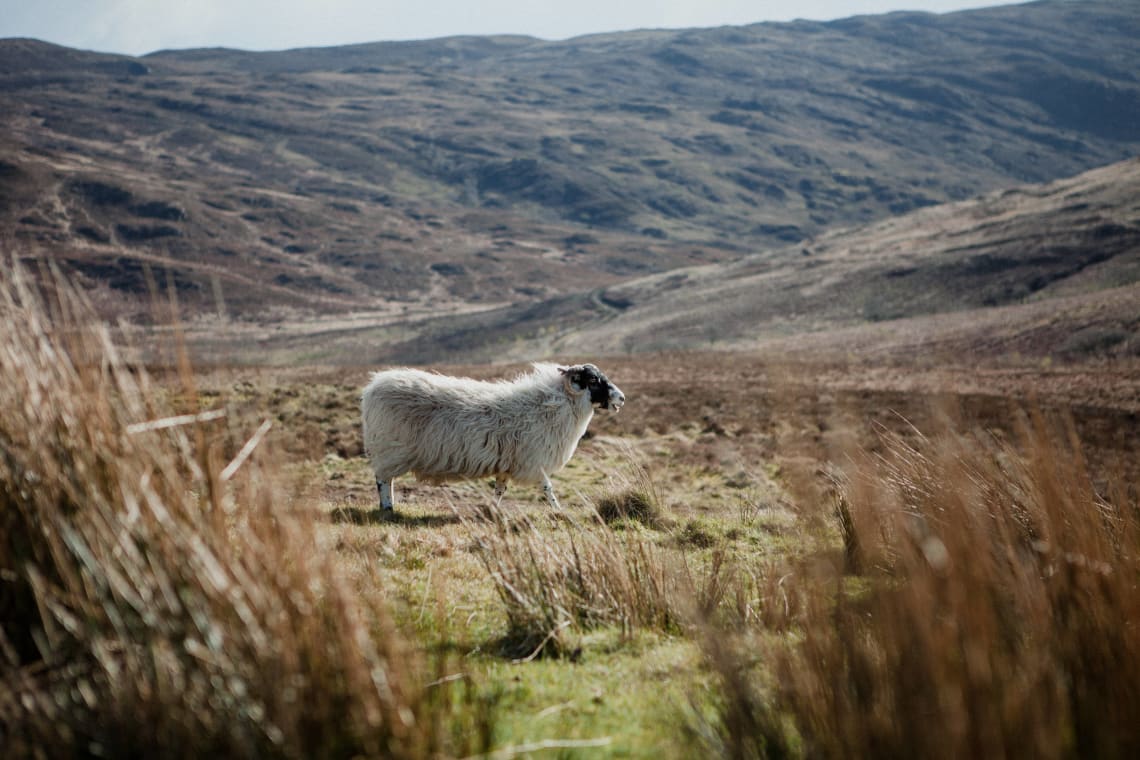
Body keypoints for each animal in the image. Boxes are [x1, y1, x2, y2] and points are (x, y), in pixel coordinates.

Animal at [360, 362, 624, 510]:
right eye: (593, 380)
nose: (621, 398)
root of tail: (371, 388)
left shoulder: (508, 464)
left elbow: (500, 490)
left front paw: (494, 511)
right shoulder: (533, 460)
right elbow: (548, 488)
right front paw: (559, 511)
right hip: (389, 449)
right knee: (383, 480)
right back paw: (388, 508)